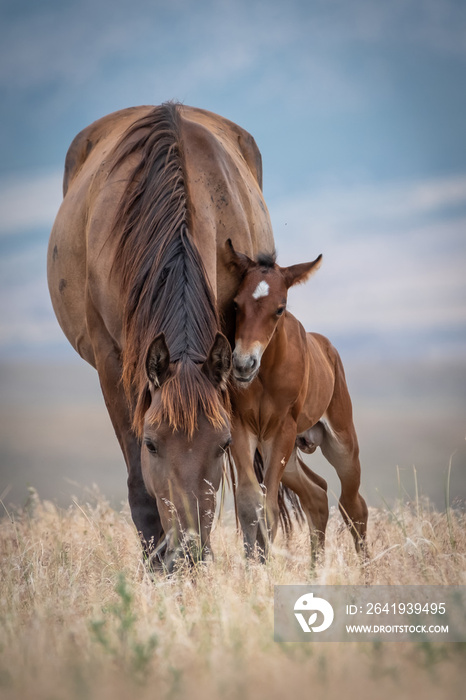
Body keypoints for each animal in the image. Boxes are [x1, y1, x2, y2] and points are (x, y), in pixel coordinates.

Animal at [47, 105, 274, 576]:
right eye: (152, 444)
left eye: (221, 443)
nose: (188, 554)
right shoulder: (113, 365)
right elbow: (139, 483)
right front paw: (155, 567)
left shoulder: (236, 352)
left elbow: (245, 480)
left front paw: (257, 561)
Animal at [226, 241, 368, 556]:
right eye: (236, 304)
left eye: (279, 309)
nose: (243, 364)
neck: (266, 374)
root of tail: (328, 349)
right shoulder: (243, 427)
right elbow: (249, 503)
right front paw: (252, 563)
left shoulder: (282, 429)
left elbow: (268, 508)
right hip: (288, 453)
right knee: (317, 495)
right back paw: (317, 565)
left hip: (340, 444)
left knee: (353, 505)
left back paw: (368, 566)